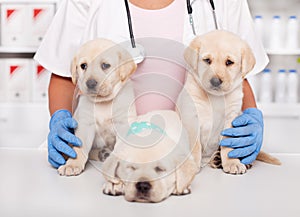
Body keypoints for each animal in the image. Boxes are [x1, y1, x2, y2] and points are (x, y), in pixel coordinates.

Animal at [177, 30, 280, 175]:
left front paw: (232, 163)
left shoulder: (231, 118)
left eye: (229, 62)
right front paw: (190, 164)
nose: (215, 81)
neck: (215, 97)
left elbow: (228, 145)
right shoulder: (191, 116)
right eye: (207, 60)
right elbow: (194, 145)